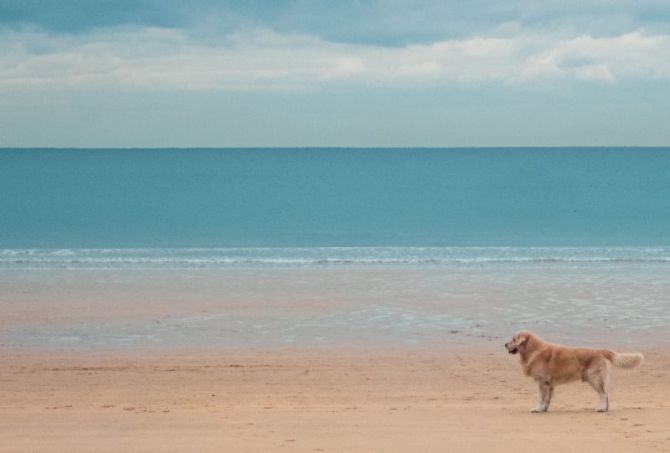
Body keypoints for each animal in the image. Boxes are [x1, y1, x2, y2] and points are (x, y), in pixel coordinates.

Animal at [510, 330, 644, 412]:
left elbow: (540, 398)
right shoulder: (549, 385)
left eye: (513, 340)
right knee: (606, 395)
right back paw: (605, 408)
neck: (533, 349)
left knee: (603, 395)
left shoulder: (542, 382)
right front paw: (544, 409)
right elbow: (547, 399)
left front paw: (537, 409)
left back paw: (601, 408)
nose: (506, 344)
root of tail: (600, 351)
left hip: (595, 379)